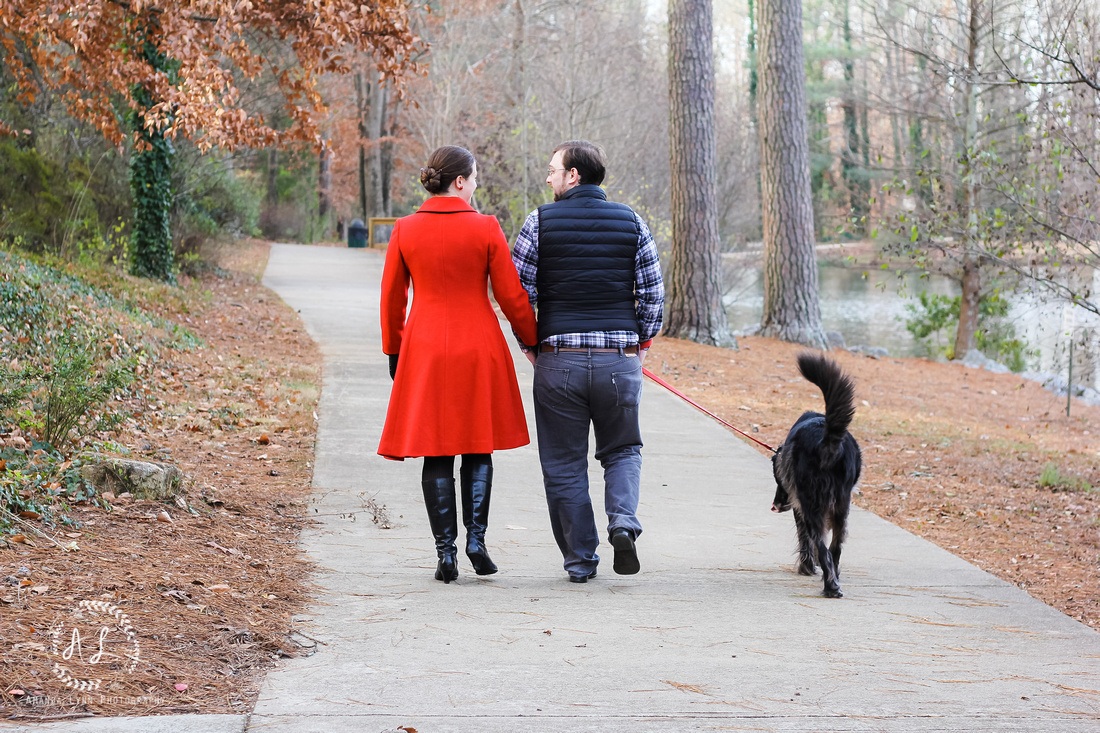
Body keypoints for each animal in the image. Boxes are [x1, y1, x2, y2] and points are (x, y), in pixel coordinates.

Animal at [770, 352, 862, 598]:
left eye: (777, 479)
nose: (774, 506)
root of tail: (825, 440)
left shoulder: (800, 507)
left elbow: (804, 540)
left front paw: (806, 567)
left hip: (811, 504)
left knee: (820, 545)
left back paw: (829, 586)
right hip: (841, 508)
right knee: (834, 549)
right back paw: (834, 581)